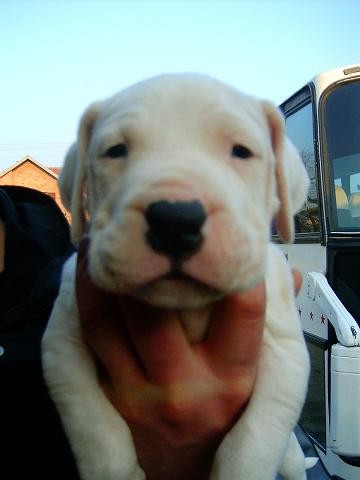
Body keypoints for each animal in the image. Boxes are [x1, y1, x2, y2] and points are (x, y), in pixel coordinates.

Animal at [42, 72, 310, 480]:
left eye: (241, 151)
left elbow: (251, 442)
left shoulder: (286, 355)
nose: (175, 219)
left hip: (292, 456)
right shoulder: (61, 348)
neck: (185, 309)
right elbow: (98, 430)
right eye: (115, 151)